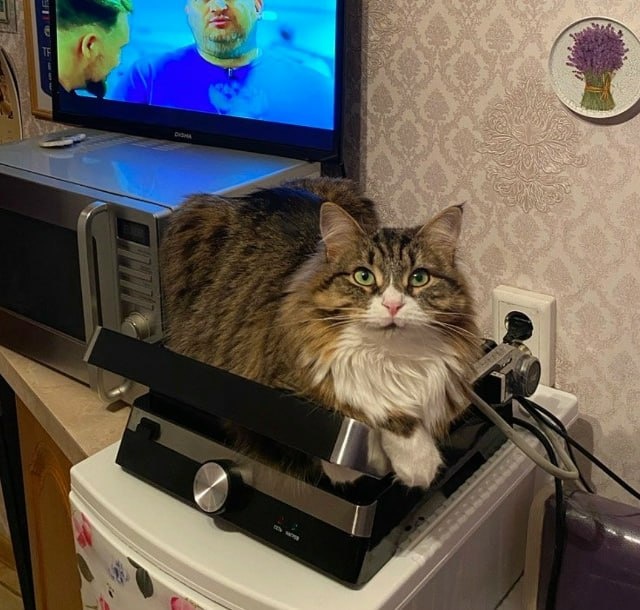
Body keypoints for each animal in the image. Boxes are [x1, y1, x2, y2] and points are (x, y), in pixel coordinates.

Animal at [161, 177, 481, 488]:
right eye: (363, 276)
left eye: (419, 278)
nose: (393, 305)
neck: (387, 358)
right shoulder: (279, 381)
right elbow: (363, 406)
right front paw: (401, 464)